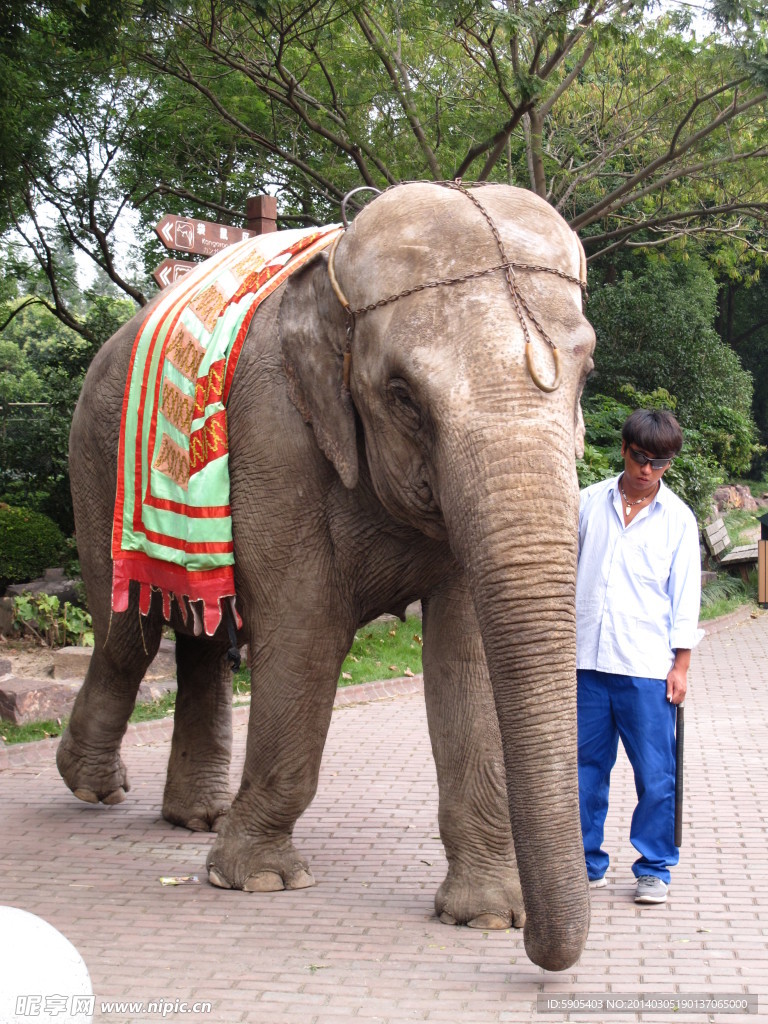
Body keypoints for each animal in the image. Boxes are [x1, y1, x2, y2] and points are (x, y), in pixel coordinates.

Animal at [60, 180, 598, 970]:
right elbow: (305, 633)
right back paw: (94, 788)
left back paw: (196, 816)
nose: (542, 957)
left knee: (197, 631)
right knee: (129, 633)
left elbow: (463, 655)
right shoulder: (273, 433)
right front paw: (257, 882)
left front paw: (486, 918)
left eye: (586, 375)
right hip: (98, 461)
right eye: (403, 395)